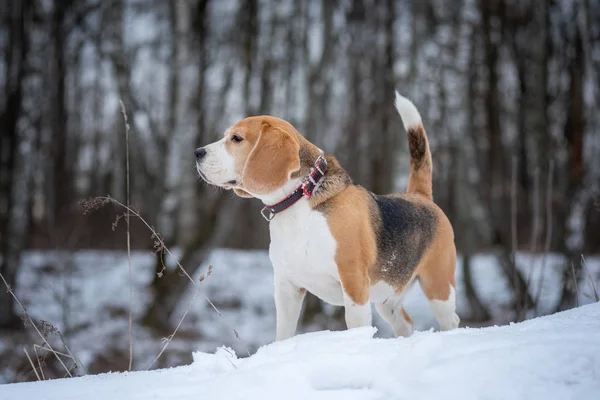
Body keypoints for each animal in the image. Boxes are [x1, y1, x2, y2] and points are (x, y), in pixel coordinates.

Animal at [197, 92, 460, 340]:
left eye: (236, 138)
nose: (197, 152)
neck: (299, 201)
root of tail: (419, 196)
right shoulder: (286, 288)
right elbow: (283, 333)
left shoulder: (354, 282)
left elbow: (356, 326)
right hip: (388, 296)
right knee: (405, 322)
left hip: (438, 287)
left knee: (451, 320)